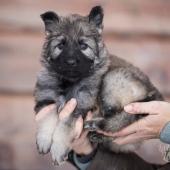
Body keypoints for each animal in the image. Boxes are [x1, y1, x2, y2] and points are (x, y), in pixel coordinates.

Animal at [34, 5, 165, 169]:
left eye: (83, 46)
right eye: (61, 45)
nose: (70, 62)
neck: (70, 82)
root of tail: (154, 93)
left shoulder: (79, 106)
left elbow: (64, 127)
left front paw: (58, 149)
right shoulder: (46, 101)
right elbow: (48, 117)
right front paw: (44, 140)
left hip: (113, 80)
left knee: (122, 118)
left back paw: (97, 124)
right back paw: (97, 135)